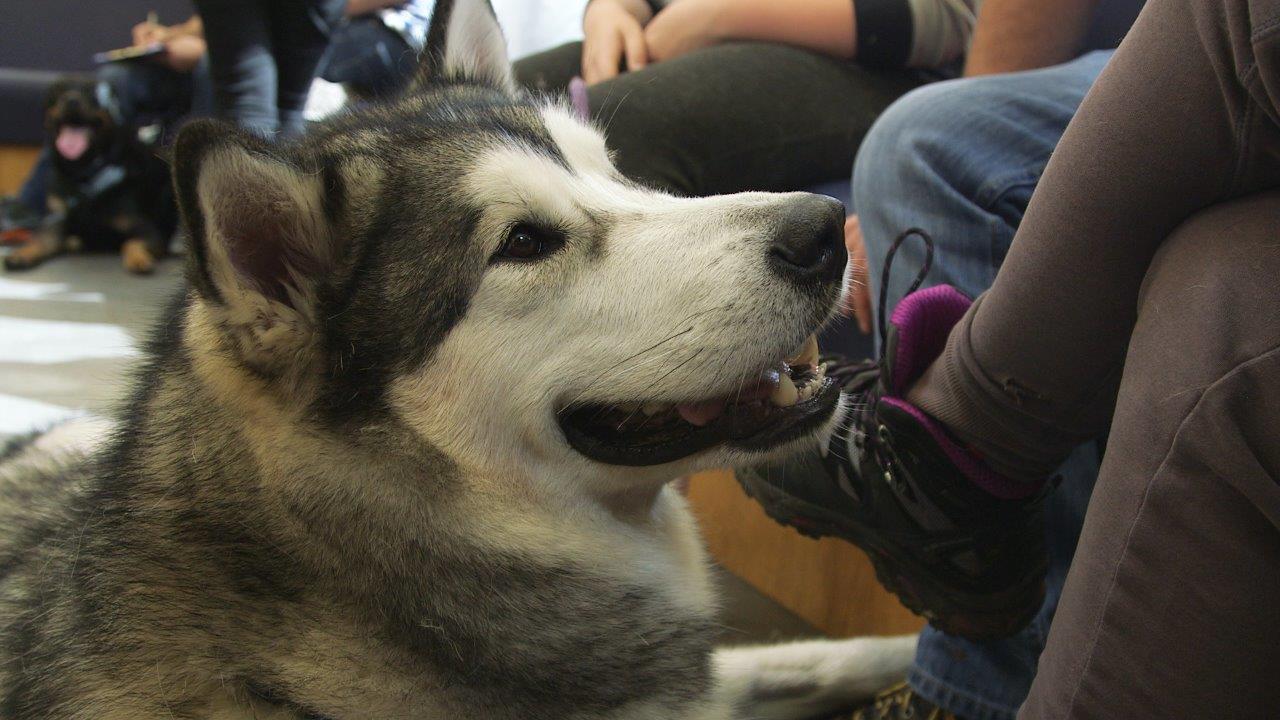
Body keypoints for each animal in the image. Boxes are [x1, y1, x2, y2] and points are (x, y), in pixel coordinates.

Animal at [5, 75, 176, 271]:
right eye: (58, 91)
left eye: (91, 92)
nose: (71, 100)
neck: (83, 171)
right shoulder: (57, 221)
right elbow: (41, 239)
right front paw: (22, 254)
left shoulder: (148, 230)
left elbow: (131, 243)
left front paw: (138, 258)